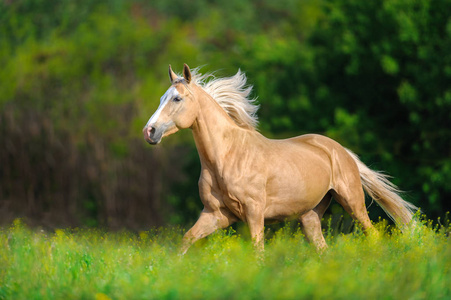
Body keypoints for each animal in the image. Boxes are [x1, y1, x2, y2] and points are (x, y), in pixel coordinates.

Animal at [143, 63, 418, 253]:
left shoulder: (254, 212)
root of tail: (340, 150)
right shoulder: (216, 214)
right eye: (161, 98)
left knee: (372, 235)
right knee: (323, 250)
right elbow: (186, 240)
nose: (149, 131)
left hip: (352, 201)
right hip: (310, 216)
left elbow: (258, 252)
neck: (227, 157)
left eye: (177, 98)